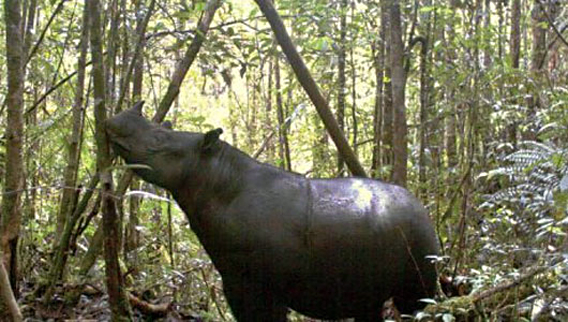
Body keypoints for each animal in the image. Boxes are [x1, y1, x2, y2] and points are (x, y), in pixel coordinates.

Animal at [105, 102, 440, 320]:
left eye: (159, 139)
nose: (114, 121)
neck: (212, 174)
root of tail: (423, 207)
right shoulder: (235, 277)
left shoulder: (266, 285)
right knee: (369, 306)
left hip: (420, 239)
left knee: (413, 304)